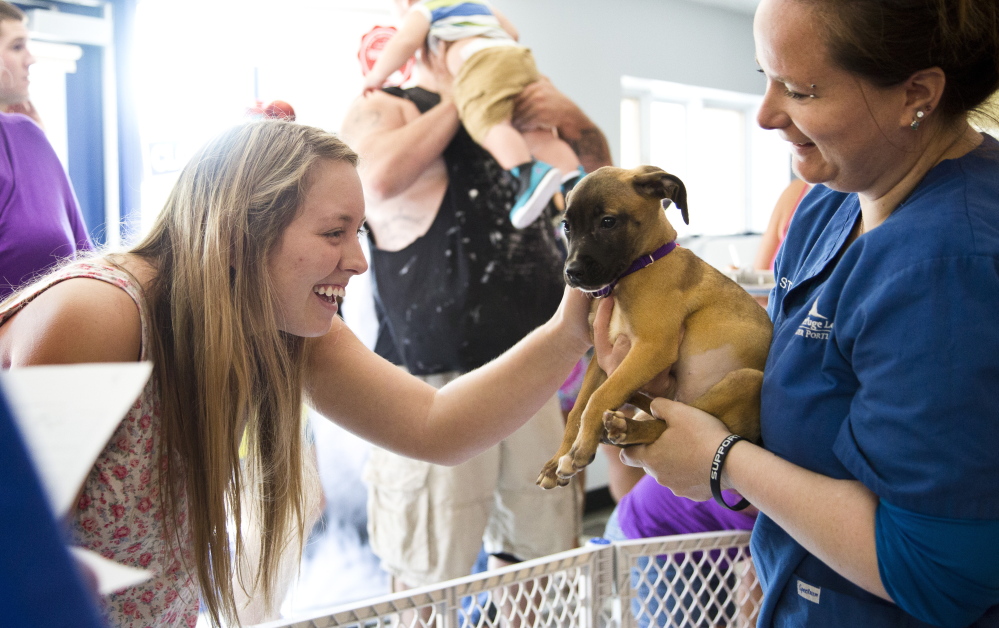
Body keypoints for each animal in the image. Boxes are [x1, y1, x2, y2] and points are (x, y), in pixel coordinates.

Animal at [540, 164, 772, 488]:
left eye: (608, 222)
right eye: (567, 227)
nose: (571, 273)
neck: (634, 271)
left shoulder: (652, 348)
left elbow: (598, 398)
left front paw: (580, 450)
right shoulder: (603, 357)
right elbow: (579, 408)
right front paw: (557, 460)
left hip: (746, 380)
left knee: (669, 422)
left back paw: (627, 429)